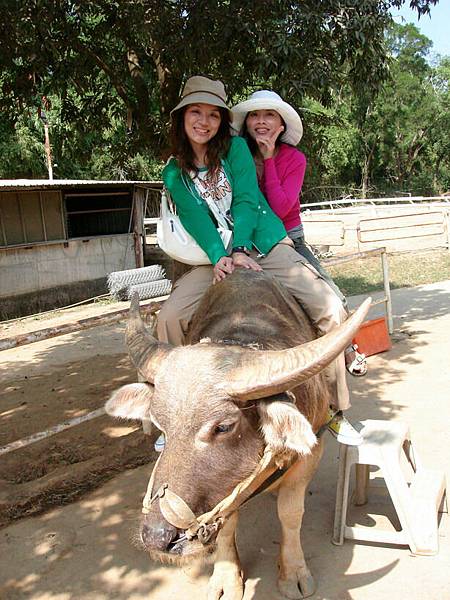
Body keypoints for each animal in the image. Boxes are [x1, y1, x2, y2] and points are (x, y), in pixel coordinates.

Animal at [105, 272, 370, 600]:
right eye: (160, 424)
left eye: (223, 427)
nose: (157, 536)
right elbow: (228, 524)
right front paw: (226, 578)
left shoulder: (310, 456)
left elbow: (290, 513)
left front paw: (293, 572)